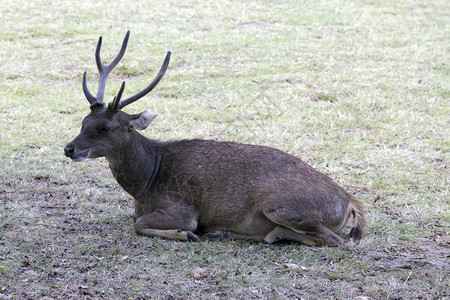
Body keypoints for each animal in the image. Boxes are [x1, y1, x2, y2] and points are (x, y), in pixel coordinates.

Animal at [63, 31, 366, 246]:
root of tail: (350, 202)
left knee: (333, 240)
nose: (69, 148)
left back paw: (265, 234)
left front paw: (186, 234)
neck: (146, 184)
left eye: (106, 127)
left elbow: (141, 225)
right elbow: (135, 220)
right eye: (84, 121)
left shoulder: (182, 210)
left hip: (283, 206)